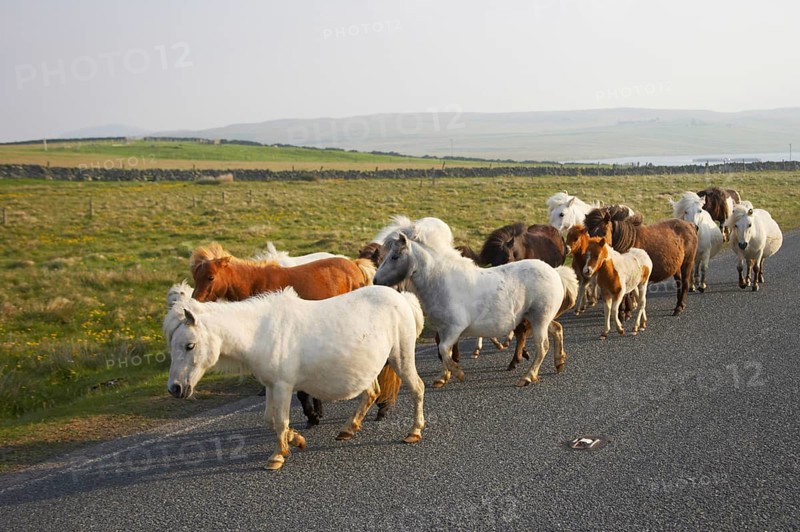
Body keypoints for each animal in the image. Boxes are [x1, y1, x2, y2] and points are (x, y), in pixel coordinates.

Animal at [164, 286, 426, 471]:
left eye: (189, 345)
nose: (175, 388)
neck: (261, 333)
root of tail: (402, 298)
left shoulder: (282, 386)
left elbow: (280, 421)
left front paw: (277, 457)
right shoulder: (271, 386)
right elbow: (270, 420)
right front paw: (297, 440)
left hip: (400, 356)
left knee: (417, 388)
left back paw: (414, 432)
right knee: (372, 392)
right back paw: (348, 429)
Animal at [188, 243, 395, 426]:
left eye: (210, 277)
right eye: (195, 277)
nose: (193, 303)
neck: (257, 285)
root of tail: (355, 265)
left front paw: (312, 415)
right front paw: (315, 412)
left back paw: (382, 406)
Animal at [374, 216, 578, 388]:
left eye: (395, 256)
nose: (375, 280)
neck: (443, 282)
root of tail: (555, 272)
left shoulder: (455, 328)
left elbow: (445, 350)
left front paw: (458, 373)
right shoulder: (443, 329)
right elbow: (444, 351)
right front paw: (442, 378)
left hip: (539, 319)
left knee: (542, 346)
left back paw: (527, 377)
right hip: (539, 319)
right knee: (557, 329)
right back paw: (559, 362)